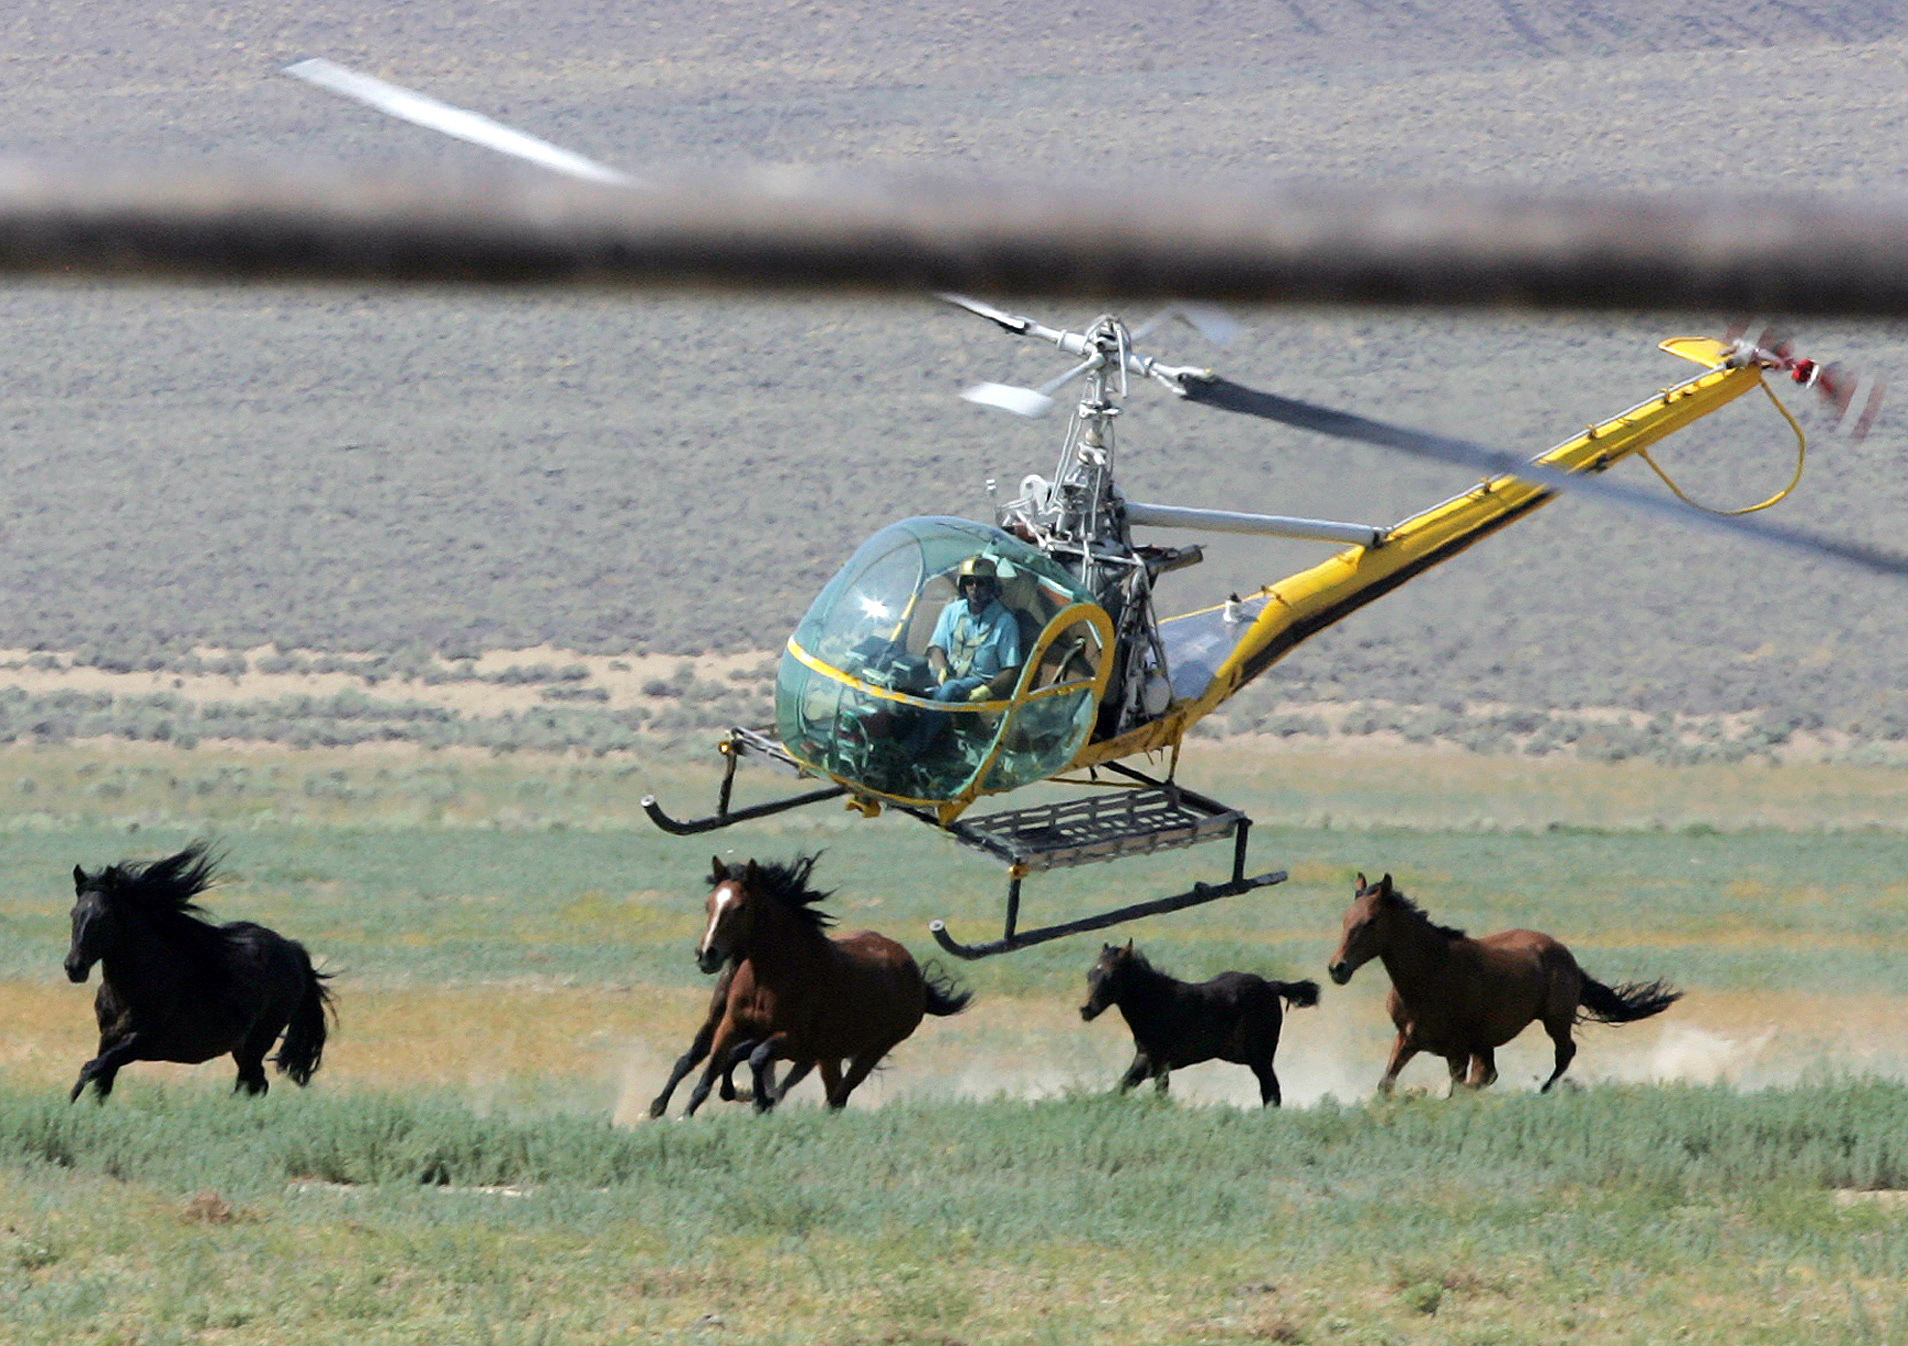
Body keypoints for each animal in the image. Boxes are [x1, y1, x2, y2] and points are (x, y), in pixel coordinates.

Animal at [64, 840, 335, 1099]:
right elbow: (100, 1085)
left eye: (104, 917)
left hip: (258, 1040)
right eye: (74, 913)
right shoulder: (108, 1039)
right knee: (253, 1084)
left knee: (253, 1083)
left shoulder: (138, 1041)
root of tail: (292, 950)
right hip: (243, 1047)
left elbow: (89, 1070)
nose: (73, 967)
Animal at [679, 851, 969, 1114]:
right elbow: (714, 1069)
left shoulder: (794, 1040)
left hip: (873, 1049)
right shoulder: (732, 1025)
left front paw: (758, 1099)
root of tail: (915, 973)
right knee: (832, 1094)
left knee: (838, 1097)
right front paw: (689, 1112)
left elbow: (756, 1057)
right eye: (708, 904)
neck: (766, 979)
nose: (706, 954)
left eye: (741, 908)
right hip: (831, 1054)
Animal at [1083, 939, 1320, 1107]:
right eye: (1090, 974)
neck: (1158, 1003)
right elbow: (1127, 1089)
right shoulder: (1152, 1064)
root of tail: (1271, 986)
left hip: (1260, 1056)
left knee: (1272, 1091)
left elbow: (1132, 1089)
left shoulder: (1155, 1061)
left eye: (1111, 976)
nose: (1085, 1010)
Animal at [1327, 870, 1686, 1092]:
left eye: (1371, 921)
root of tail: (1564, 954)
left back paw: (1543, 1090)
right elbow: (1385, 1085)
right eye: (1345, 919)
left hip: (1555, 1020)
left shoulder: (1457, 1049)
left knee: (1564, 1053)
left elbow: (1459, 1088)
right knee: (1491, 1073)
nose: (1337, 968)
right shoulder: (1408, 1039)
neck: (1430, 973)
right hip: (1487, 1041)